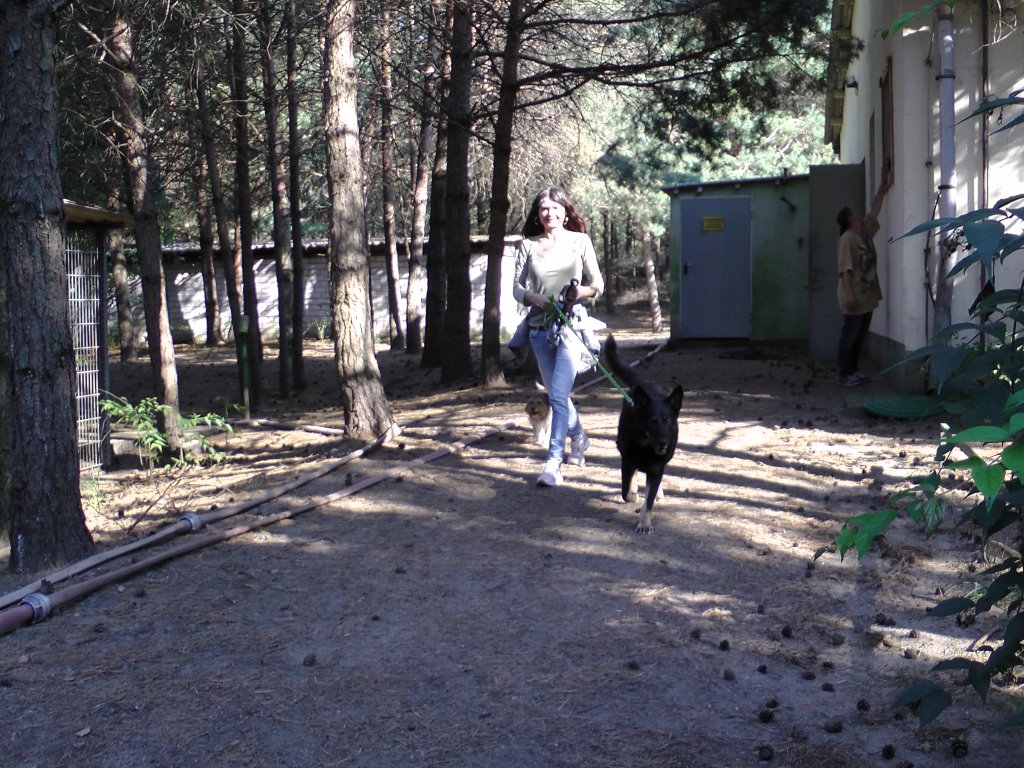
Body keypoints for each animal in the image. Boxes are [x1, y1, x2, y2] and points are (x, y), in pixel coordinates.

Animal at [603, 334, 684, 534]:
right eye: (652, 420)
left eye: (668, 420)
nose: (663, 443)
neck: (646, 447)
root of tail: (645, 385)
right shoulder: (627, 460)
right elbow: (626, 492)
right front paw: (633, 494)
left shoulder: (656, 468)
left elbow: (649, 500)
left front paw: (645, 523)